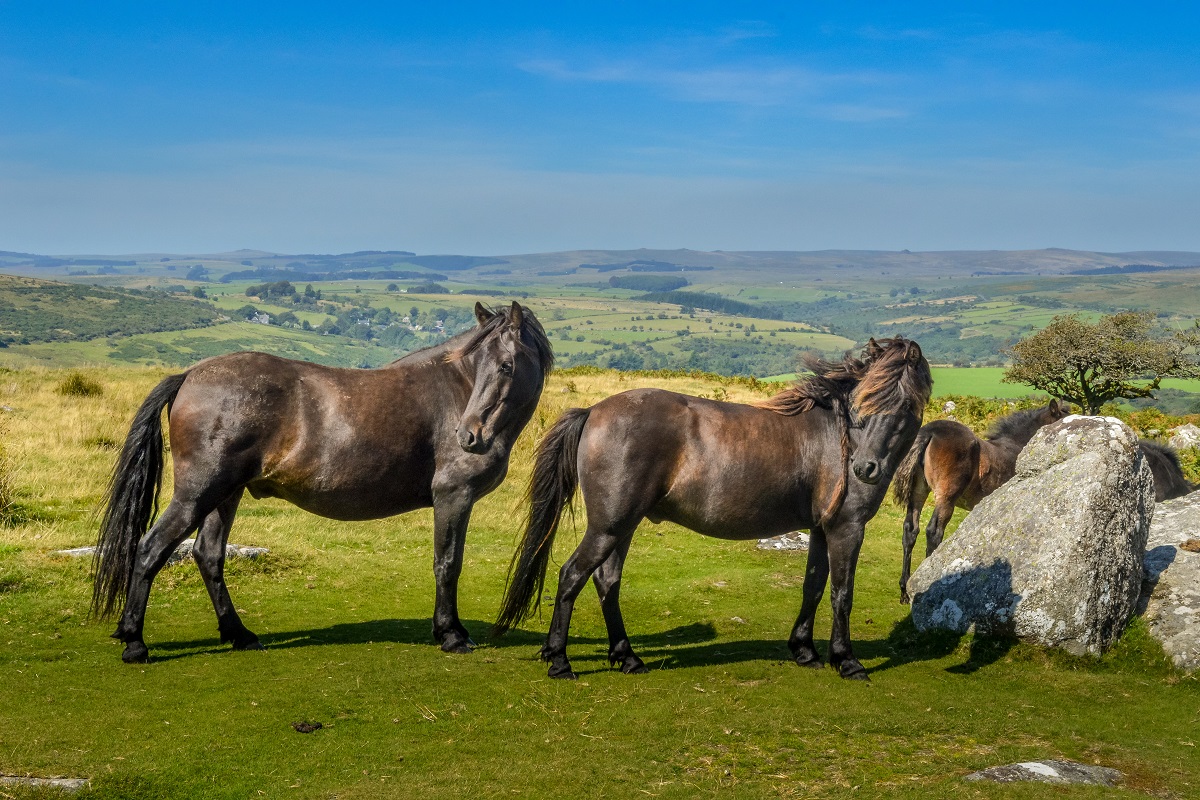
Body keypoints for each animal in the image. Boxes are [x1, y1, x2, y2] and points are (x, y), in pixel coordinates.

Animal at [93, 299, 552, 662]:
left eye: (506, 365)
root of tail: (189, 375)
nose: (468, 435)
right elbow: (448, 563)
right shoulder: (454, 496)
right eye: (482, 364)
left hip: (225, 494)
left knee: (207, 555)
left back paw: (239, 635)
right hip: (197, 494)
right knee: (150, 549)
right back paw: (135, 642)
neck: (457, 390)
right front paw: (451, 633)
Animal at [492, 338, 931, 681]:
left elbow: (814, 586)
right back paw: (560, 661)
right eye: (865, 402)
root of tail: (593, 411)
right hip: (609, 526)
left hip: (622, 527)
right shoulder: (847, 527)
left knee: (606, 581)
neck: (838, 437)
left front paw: (804, 650)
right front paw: (847, 660)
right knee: (572, 576)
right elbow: (842, 592)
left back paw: (627, 657)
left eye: (903, 403)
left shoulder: (822, 528)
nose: (865, 469)